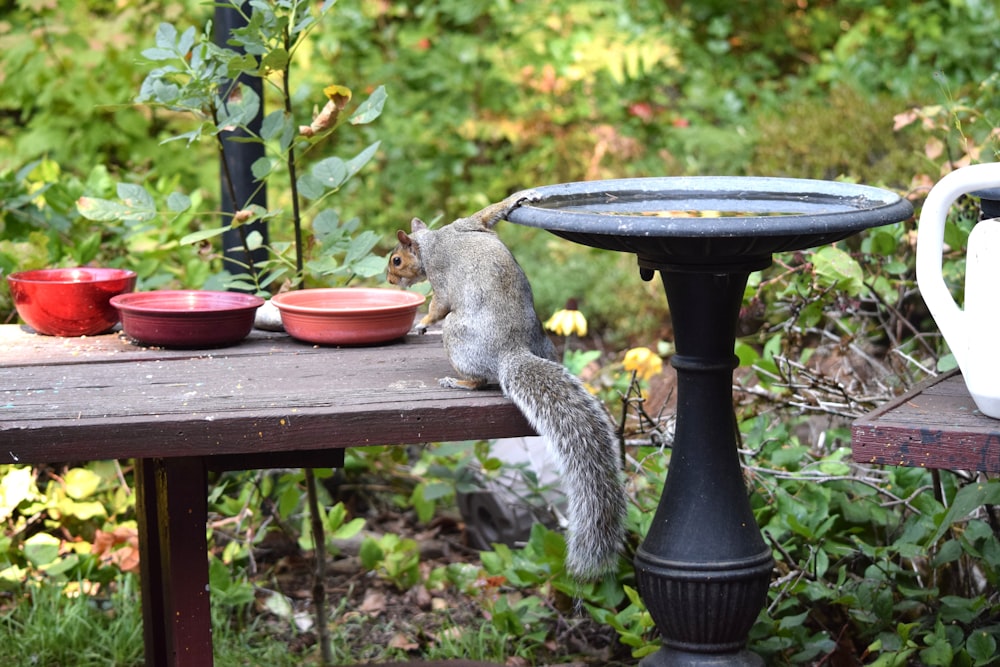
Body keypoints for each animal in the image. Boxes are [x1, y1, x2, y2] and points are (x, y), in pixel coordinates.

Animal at [388, 192, 628, 580]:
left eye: (396, 259)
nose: (389, 279)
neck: (435, 239)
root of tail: (509, 354)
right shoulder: (470, 223)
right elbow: (490, 212)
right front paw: (520, 198)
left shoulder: (441, 275)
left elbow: (438, 305)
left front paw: (421, 323)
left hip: (456, 334)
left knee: (477, 377)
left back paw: (458, 381)